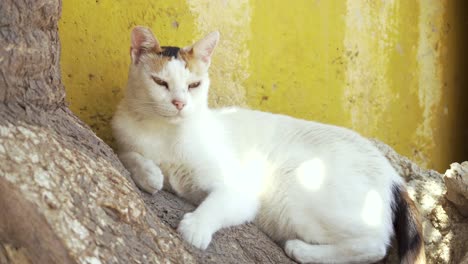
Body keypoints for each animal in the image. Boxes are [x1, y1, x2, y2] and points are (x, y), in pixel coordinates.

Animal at [111, 26, 426, 264]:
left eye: (194, 85)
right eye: (160, 82)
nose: (179, 103)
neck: (164, 134)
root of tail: (393, 176)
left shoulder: (239, 191)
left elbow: (216, 204)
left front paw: (196, 227)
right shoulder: (124, 138)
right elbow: (127, 154)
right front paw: (148, 173)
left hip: (299, 199)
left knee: (374, 245)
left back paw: (302, 250)